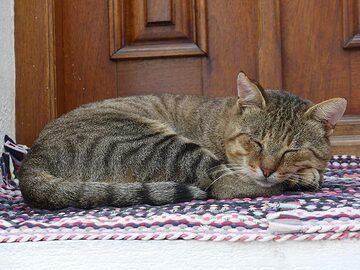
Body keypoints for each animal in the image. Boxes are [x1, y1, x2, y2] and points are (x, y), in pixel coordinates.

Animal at [18, 73, 348, 210]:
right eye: (255, 141)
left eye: (292, 149)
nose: (267, 169)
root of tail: (32, 160)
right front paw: (305, 176)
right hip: (157, 144)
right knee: (222, 186)